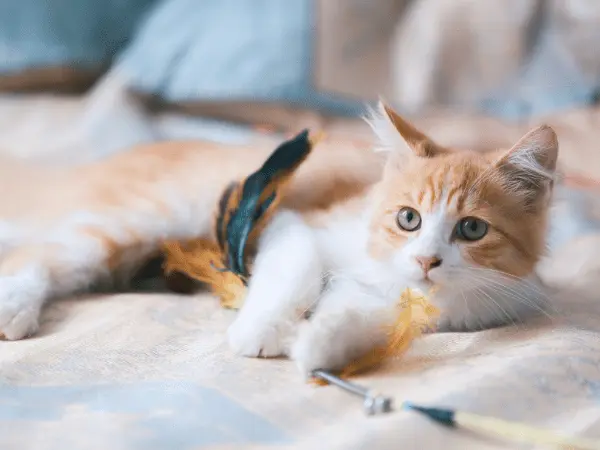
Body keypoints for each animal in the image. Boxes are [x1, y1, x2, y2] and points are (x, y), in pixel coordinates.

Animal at [0, 102, 580, 376]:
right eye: (408, 219)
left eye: (472, 229)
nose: (426, 262)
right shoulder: (296, 224)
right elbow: (293, 272)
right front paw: (260, 331)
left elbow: (369, 319)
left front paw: (321, 344)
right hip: (151, 216)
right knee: (43, 253)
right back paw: (13, 308)